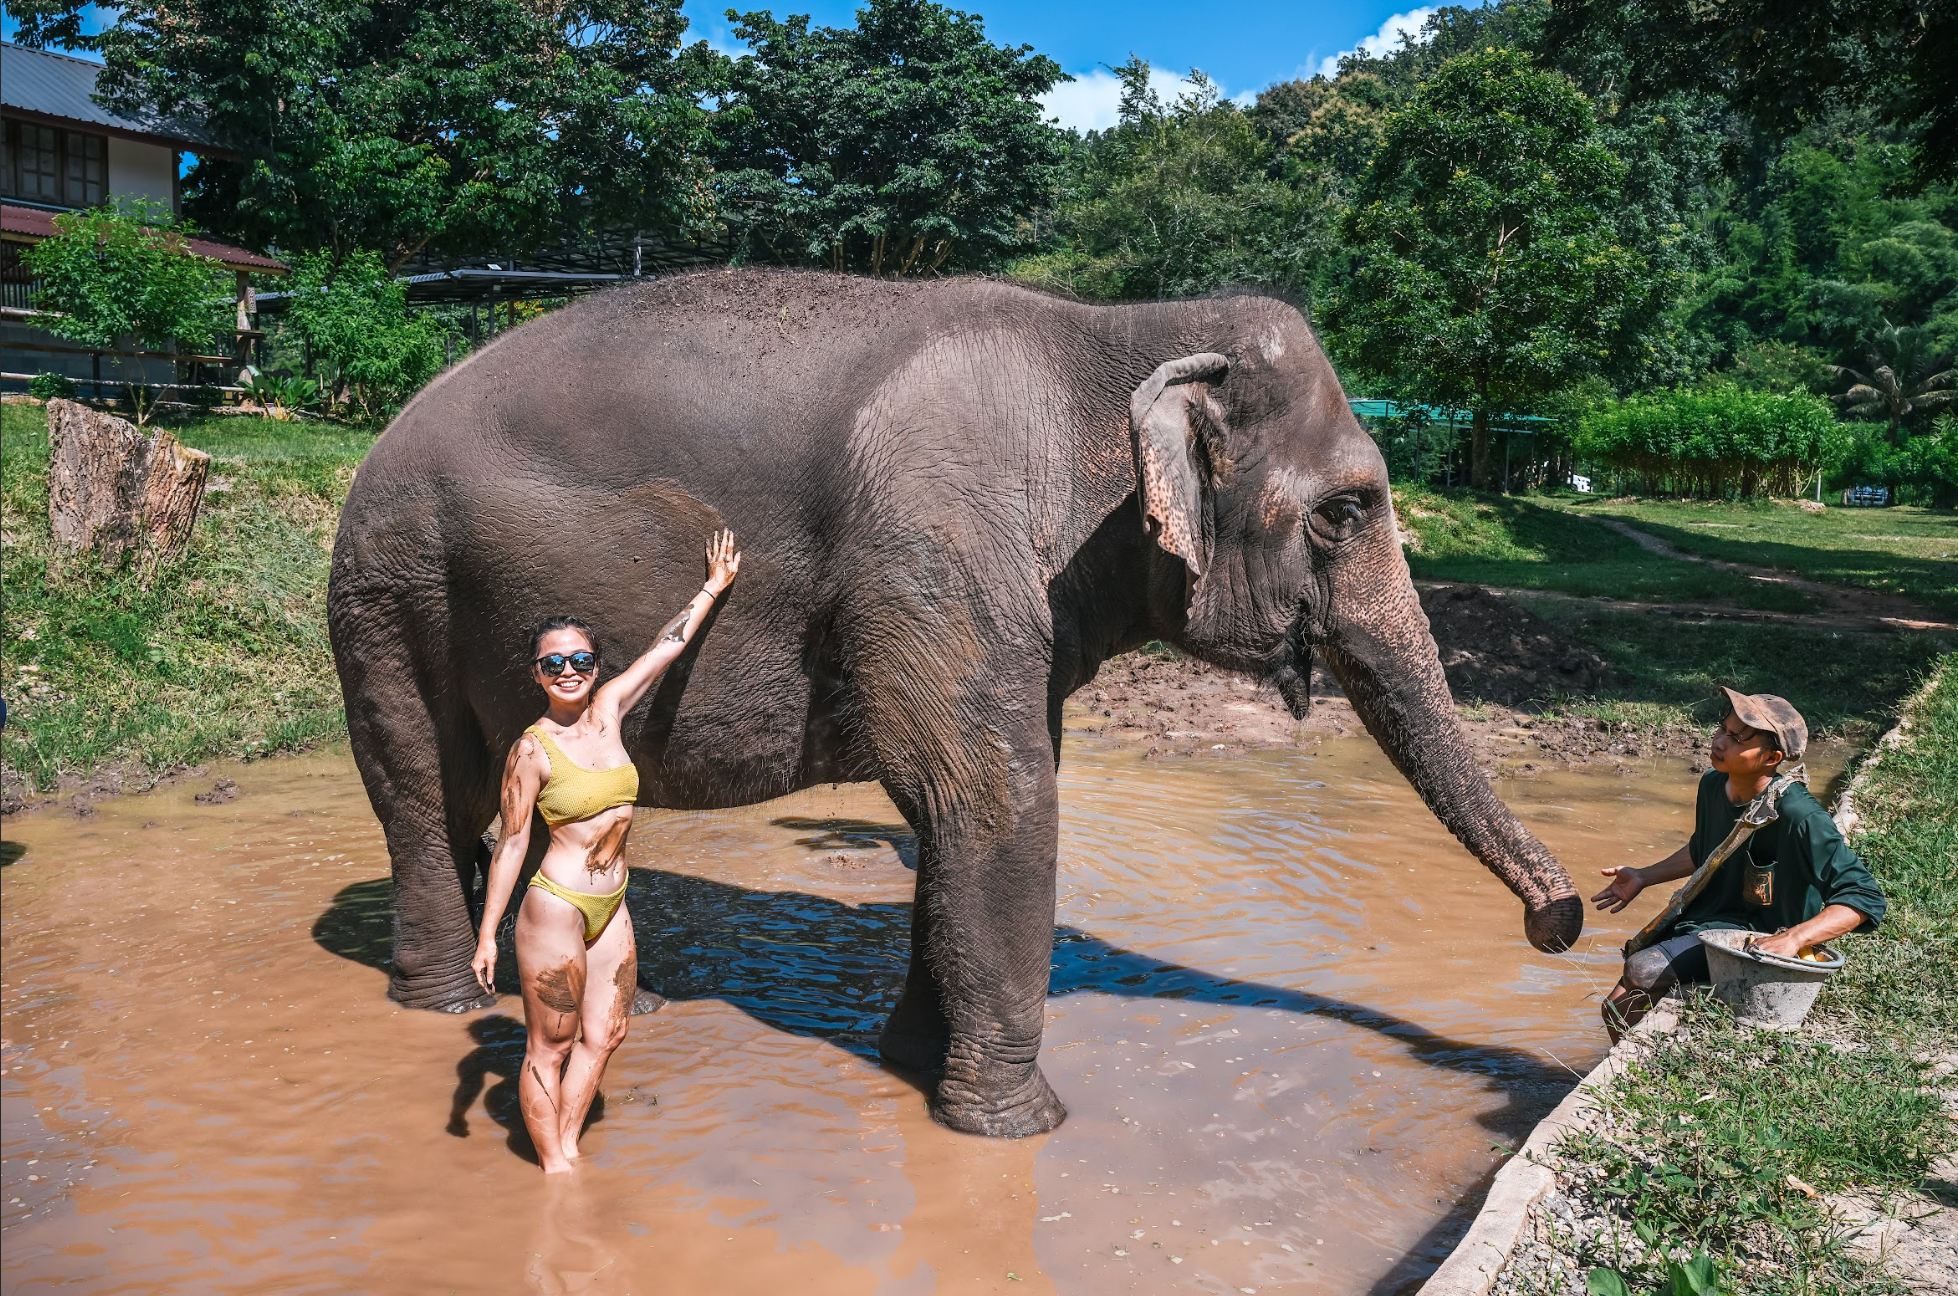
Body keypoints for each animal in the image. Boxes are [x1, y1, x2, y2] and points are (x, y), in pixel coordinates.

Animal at [327, 268, 1583, 1138]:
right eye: (1344, 511)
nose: (1561, 922)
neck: (1114, 333)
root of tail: (378, 437)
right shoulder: (935, 540)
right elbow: (999, 799)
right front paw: (1019, 1133)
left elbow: (959, 817)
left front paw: (908, 1066)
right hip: (390, 591)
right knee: (421, 793)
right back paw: (447, 1004)